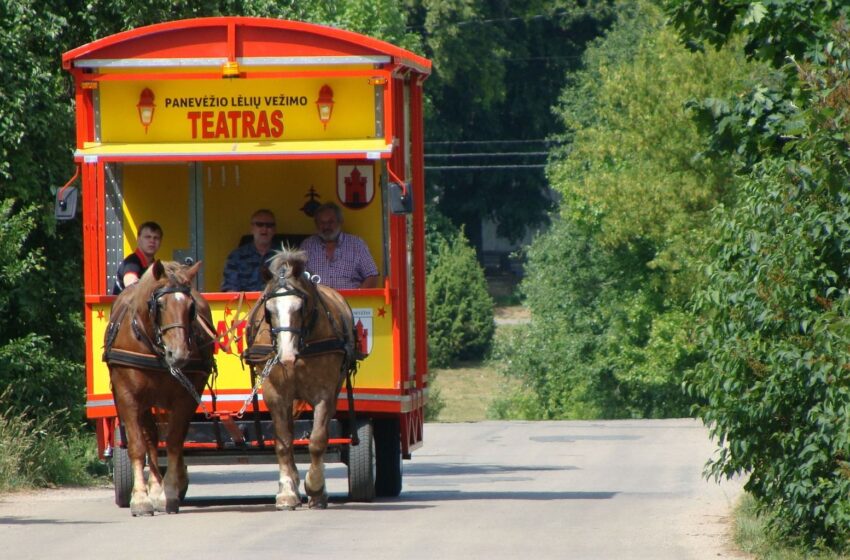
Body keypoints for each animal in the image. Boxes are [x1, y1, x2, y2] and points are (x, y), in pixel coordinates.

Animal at [102, 262, 212, 516]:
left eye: (191, 307)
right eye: (159, 305)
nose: (179, 354)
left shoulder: (184, 398)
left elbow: (173, 441)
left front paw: (168, 493)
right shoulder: (128, 397)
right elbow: (137, 445)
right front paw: (141, 498)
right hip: (145, 404)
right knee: (151, 439)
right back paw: (153, 488)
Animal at [247, 247, 360, 510]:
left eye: (299, 307)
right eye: (269, 310)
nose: (286, 355)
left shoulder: (324, 393)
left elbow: (318, 440)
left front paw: (315, 487)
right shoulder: (275, 395)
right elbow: (283, 443)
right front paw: (288, 491)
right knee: (288, 431)